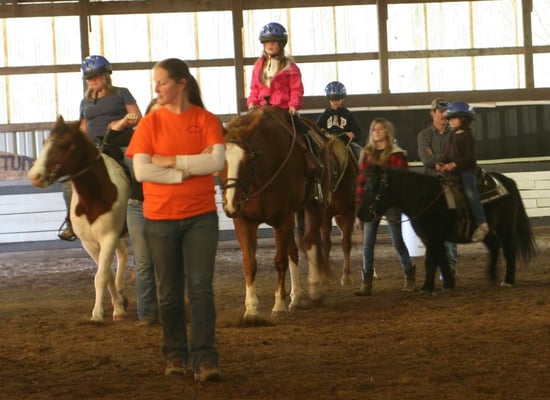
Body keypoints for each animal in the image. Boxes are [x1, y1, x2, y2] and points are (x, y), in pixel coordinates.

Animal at [27, 115, 130, 322]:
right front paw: (117, 307)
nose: (34, 176)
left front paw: (98, 313)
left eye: (63, 144)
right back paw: (122, 294)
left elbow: (101, 276)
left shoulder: (108, 237)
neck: (95, 195)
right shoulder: (89, 243)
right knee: (122, 254)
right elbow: (106, 273)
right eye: (45, 143)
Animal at [220, 105, 332, 318]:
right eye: (221, 160)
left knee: (310, 240)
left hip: (314, 206)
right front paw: (251, 308)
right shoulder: (244, 221)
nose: (230, 205)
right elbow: (249, 263)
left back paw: (315, 290)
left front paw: (279, 304)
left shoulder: (282, 219)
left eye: (248, 161)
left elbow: (280, 261)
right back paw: (295, 298)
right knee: (294, 250)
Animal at [358, 166, 540, 294]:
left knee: (509, 250)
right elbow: (441, 259)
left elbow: (431, 261)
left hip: (506, 225)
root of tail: (507, 181)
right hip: (485, 230)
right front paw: (448, 284)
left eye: (374, 187)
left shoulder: (433, 237)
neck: (425, 198)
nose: (361, 214)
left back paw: (508, 280)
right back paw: (492, 275)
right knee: (494, 245)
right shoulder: (431, 238)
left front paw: (426, 287)